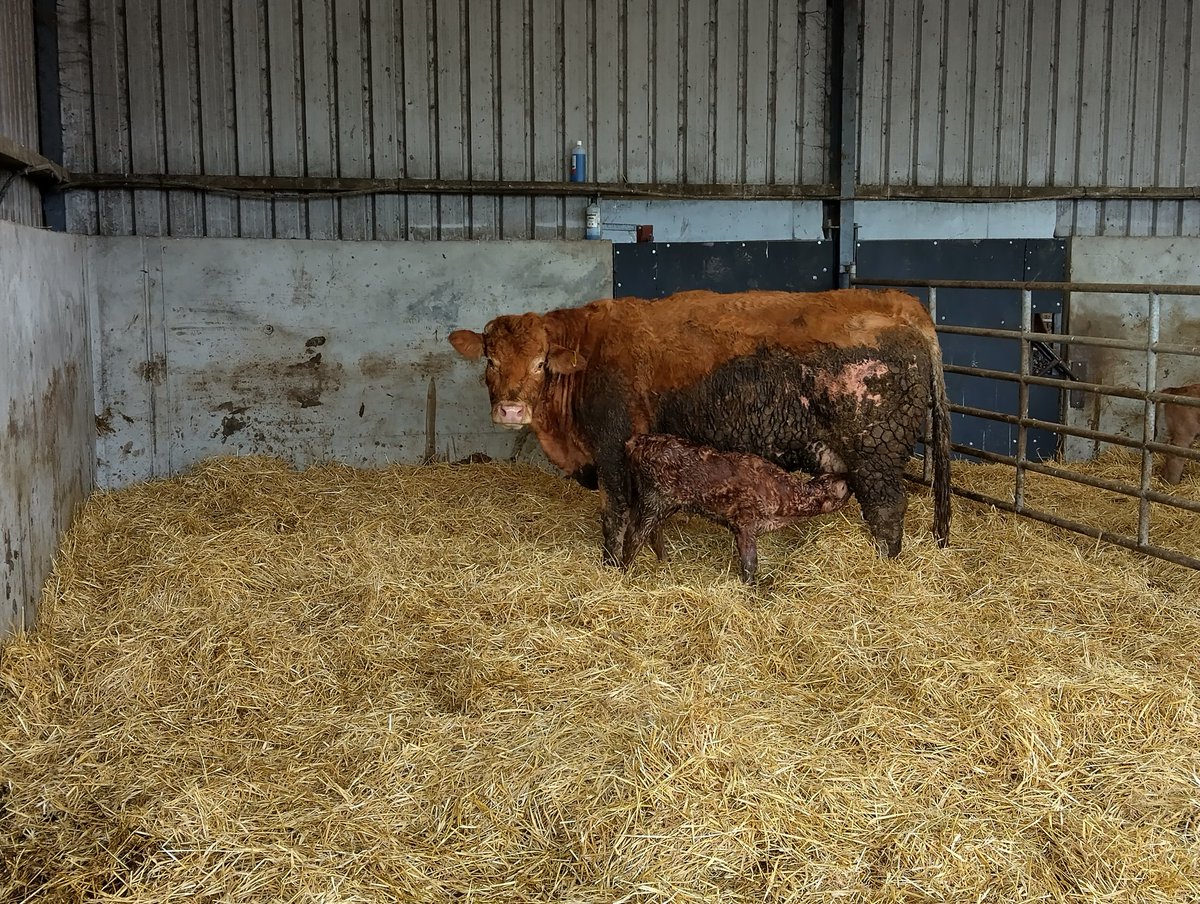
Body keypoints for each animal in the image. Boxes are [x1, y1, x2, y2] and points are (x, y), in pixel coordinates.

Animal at [624, 433, 851, 583]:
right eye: (844, 487)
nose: (849, 479)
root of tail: (636, 443)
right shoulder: (745, 522)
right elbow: (750, 563)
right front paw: (750, 587)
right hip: (657, 497)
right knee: (635, 534)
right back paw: (626, 571)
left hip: (661, 501)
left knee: (653, 531)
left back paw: (664, 560)